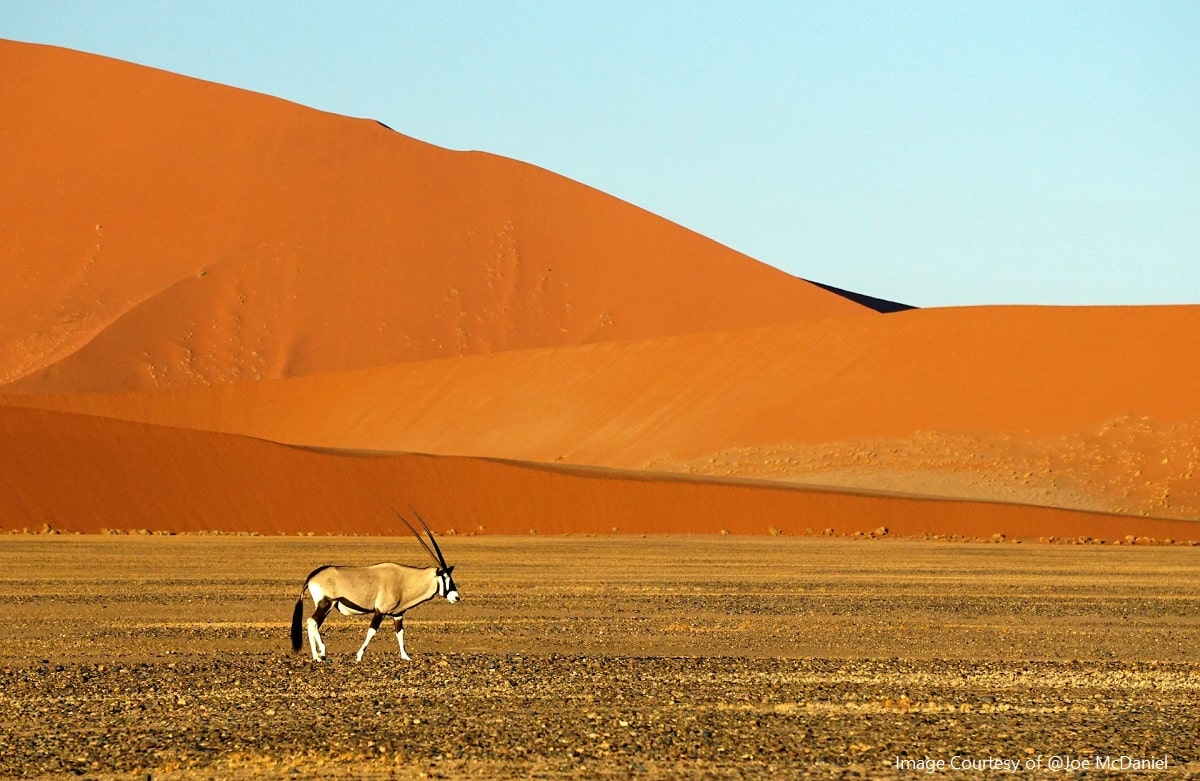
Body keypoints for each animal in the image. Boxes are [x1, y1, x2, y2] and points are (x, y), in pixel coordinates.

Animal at [290, 511, 458, 662]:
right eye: (445, 577)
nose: (456, 597)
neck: (404, 579)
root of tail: (312, 576)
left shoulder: (398, 614)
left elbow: (400, 633)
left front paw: (406, 656)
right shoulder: (380, 611)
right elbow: (371, 631)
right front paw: (358, 656)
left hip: (327, 606)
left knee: (313, 624)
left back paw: (318, 655)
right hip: (326, 604)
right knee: (312, 622)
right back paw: (319, 655)